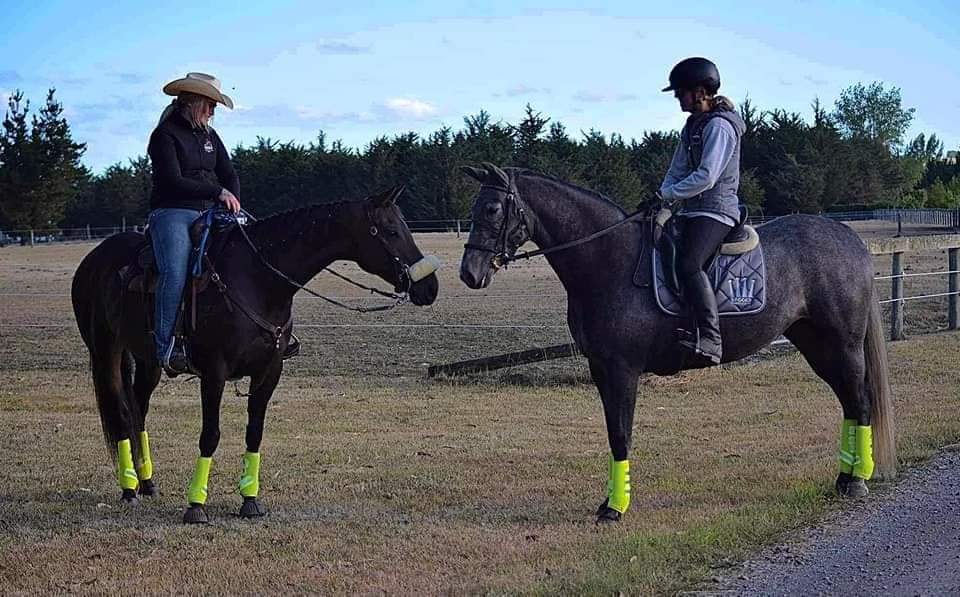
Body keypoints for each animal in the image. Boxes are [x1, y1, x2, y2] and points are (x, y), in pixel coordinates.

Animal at [71, 187, 438, 520]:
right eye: (391, 231)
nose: (430, 288)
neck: (258, 280)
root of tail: (94, 259)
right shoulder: (214, 372)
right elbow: (210, 435)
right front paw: (196, 504)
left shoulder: (269, 370)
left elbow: (255, 432)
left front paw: (250, 500)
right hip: (106, 352)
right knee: (121, 412)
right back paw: (129, 488)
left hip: (149, 360)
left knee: (138, 409)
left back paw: (146, 483)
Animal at [462, 163, 896, 520]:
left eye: (492, 210)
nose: (469, 273)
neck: (609, 260)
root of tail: (847, 237)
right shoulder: (600, 367)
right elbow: (614, 432)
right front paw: (610, 502)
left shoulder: (621, 369)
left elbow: (620, 434)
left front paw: (615, 508)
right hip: (816, 344)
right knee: (848, 402)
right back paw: (844, 477)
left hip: (843, 343)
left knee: (859, 400)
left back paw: (859, 479)